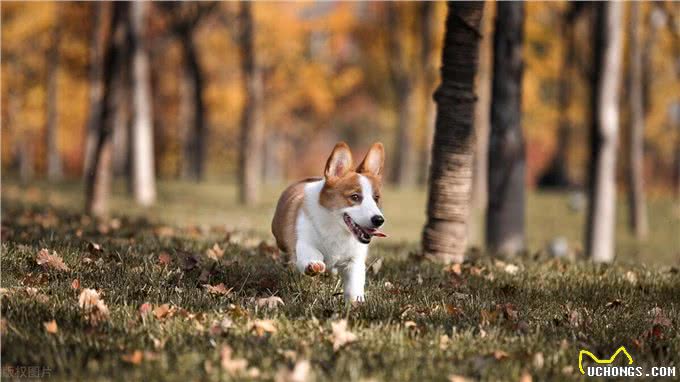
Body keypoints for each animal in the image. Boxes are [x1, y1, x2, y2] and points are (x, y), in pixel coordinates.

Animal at [272, 143, 388, 302]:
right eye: (355, 197)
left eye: (376, 198)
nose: (379, 220)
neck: (336, 227)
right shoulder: (303, 243)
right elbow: (311, 253)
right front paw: (313, 265)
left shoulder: (354, 261)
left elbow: (354, 286)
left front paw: (356, 302)